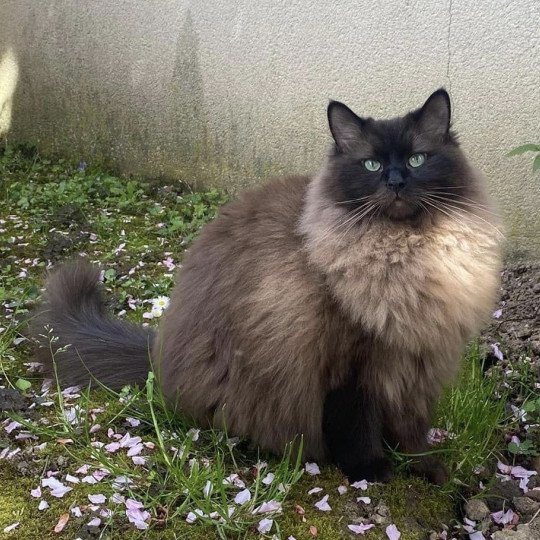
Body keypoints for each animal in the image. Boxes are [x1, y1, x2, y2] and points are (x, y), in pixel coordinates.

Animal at [30, 90, 502, 484]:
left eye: (419, 159)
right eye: (371, 165)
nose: (396, 182)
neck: (407, 256)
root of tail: (159, 351)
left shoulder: (416, 364)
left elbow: (412, 430)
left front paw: (427, 469)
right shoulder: (352, 368)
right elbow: (358, 427)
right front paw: (373, 471)